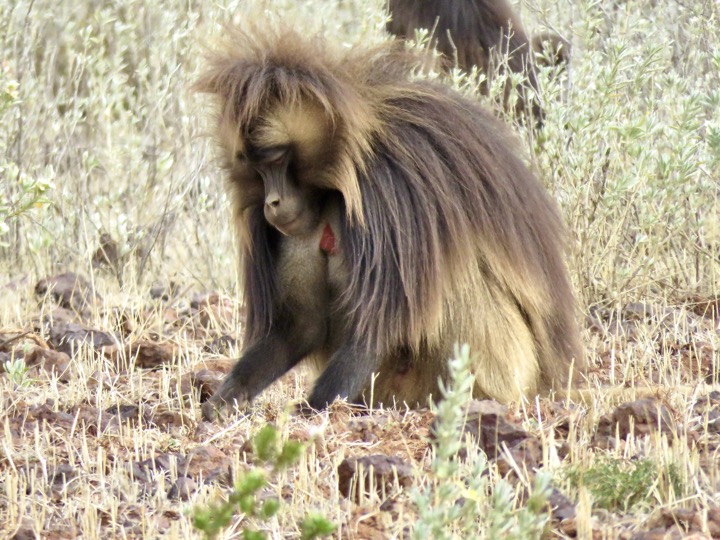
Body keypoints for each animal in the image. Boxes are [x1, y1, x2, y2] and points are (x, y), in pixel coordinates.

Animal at [197, 25, 584, 420]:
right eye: (258, 169)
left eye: (276, 160)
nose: (271, 203)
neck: (339, 179)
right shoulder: (298, 231)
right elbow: (303, 325)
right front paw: (226, 398)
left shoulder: (386, 193)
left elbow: (379, 325)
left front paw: (311, 411)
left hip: (503, 367)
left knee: (454, 283)